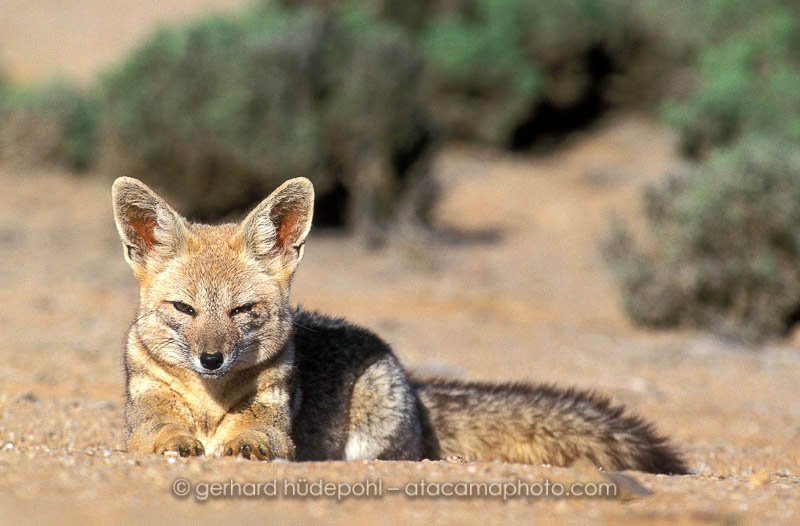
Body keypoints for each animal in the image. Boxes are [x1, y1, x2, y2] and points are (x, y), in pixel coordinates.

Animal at [112, 176, 688, 474]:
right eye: (184, 309)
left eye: (241, 311)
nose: (211, 359)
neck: (210, 403)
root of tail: (411, 378)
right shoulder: (143, 421)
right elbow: (160, 432)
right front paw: (180, 442)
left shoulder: (277, 427)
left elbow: (260, 436)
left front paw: (244, 446)